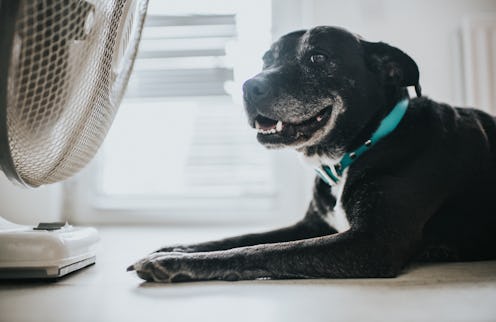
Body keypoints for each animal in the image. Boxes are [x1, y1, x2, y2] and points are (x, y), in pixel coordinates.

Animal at [128, 25, 496, 282]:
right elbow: (241, 236)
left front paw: (173, 261)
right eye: (267, 60)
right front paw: (175, 247)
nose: (249, 86)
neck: (361, 147)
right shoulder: (310, 225)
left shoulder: (372, 242)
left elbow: (259, 250)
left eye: (318, 57)